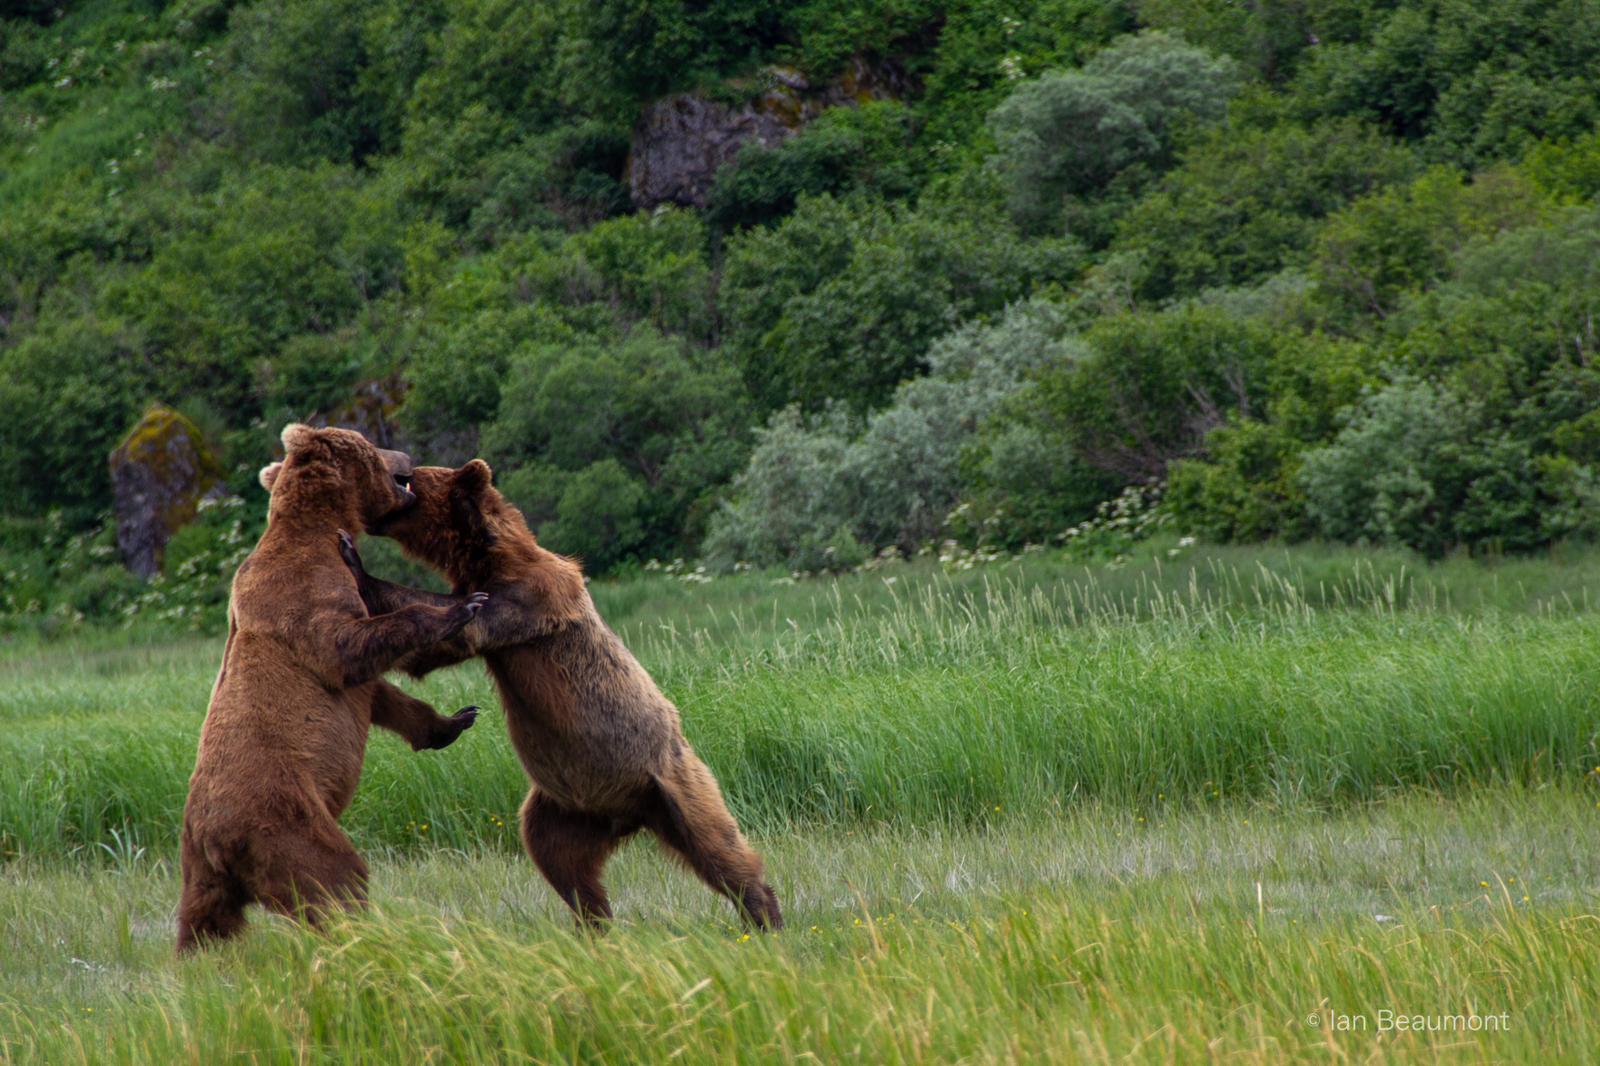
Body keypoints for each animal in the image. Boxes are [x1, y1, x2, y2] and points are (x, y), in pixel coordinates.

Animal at [176, 424, 488, 953]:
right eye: (374, 444)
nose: (407, 456)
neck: (320, 527)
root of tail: (214, 839)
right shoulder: (302, 592)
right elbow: (345, 648)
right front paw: (461, 606)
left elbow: (379, 692)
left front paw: (453, 720)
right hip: (284, 820)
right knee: (335, 878)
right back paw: (361, 934)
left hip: (199, 871)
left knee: (202, 923)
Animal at [338, 460, 783, 930]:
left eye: (410, 480)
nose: (371, 511)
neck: (490, 559)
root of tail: (628, 814)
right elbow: (430, 650)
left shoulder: (529, 601)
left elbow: (462, 628)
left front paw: (354, 561)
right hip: (566, 812)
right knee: (558, 858)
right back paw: (595, 920)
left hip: (673, 781)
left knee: (717, 846)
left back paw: (764, 912)